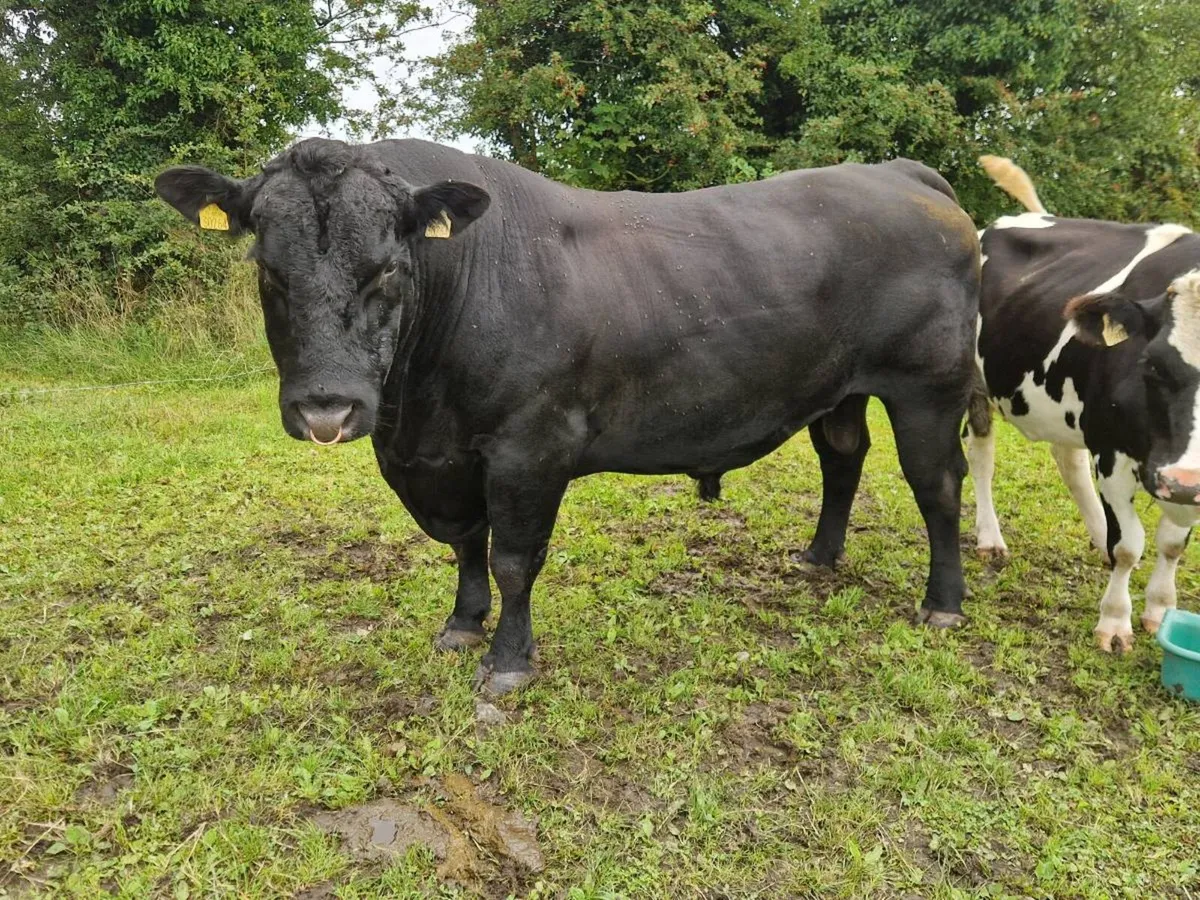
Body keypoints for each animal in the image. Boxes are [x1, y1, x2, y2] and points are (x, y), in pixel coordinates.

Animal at [155, 138, 980, 694]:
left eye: (387, 268)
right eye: (268, 270)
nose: (326, 406)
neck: (416, 418)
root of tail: (899, 172)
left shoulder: (529, 448)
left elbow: (514, 558)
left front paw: (507, 662)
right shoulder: (447, 460)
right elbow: (466, 545)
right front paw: (462, 625)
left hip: (929, 388)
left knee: (937, 485)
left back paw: (942, 605)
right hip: (838, 387)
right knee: (843, 455)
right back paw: (818, 556)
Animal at [969, 155, 1200, 652]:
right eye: (1151, 364)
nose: (1183, 482)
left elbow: (1172, 544)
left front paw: (1160, 609)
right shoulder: (1111, 449)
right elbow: (1130, 545)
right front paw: (1114, 622)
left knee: (1068, 460)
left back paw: (1096, 534)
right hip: (973, 384)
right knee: (981, 456)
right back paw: (990, 536)